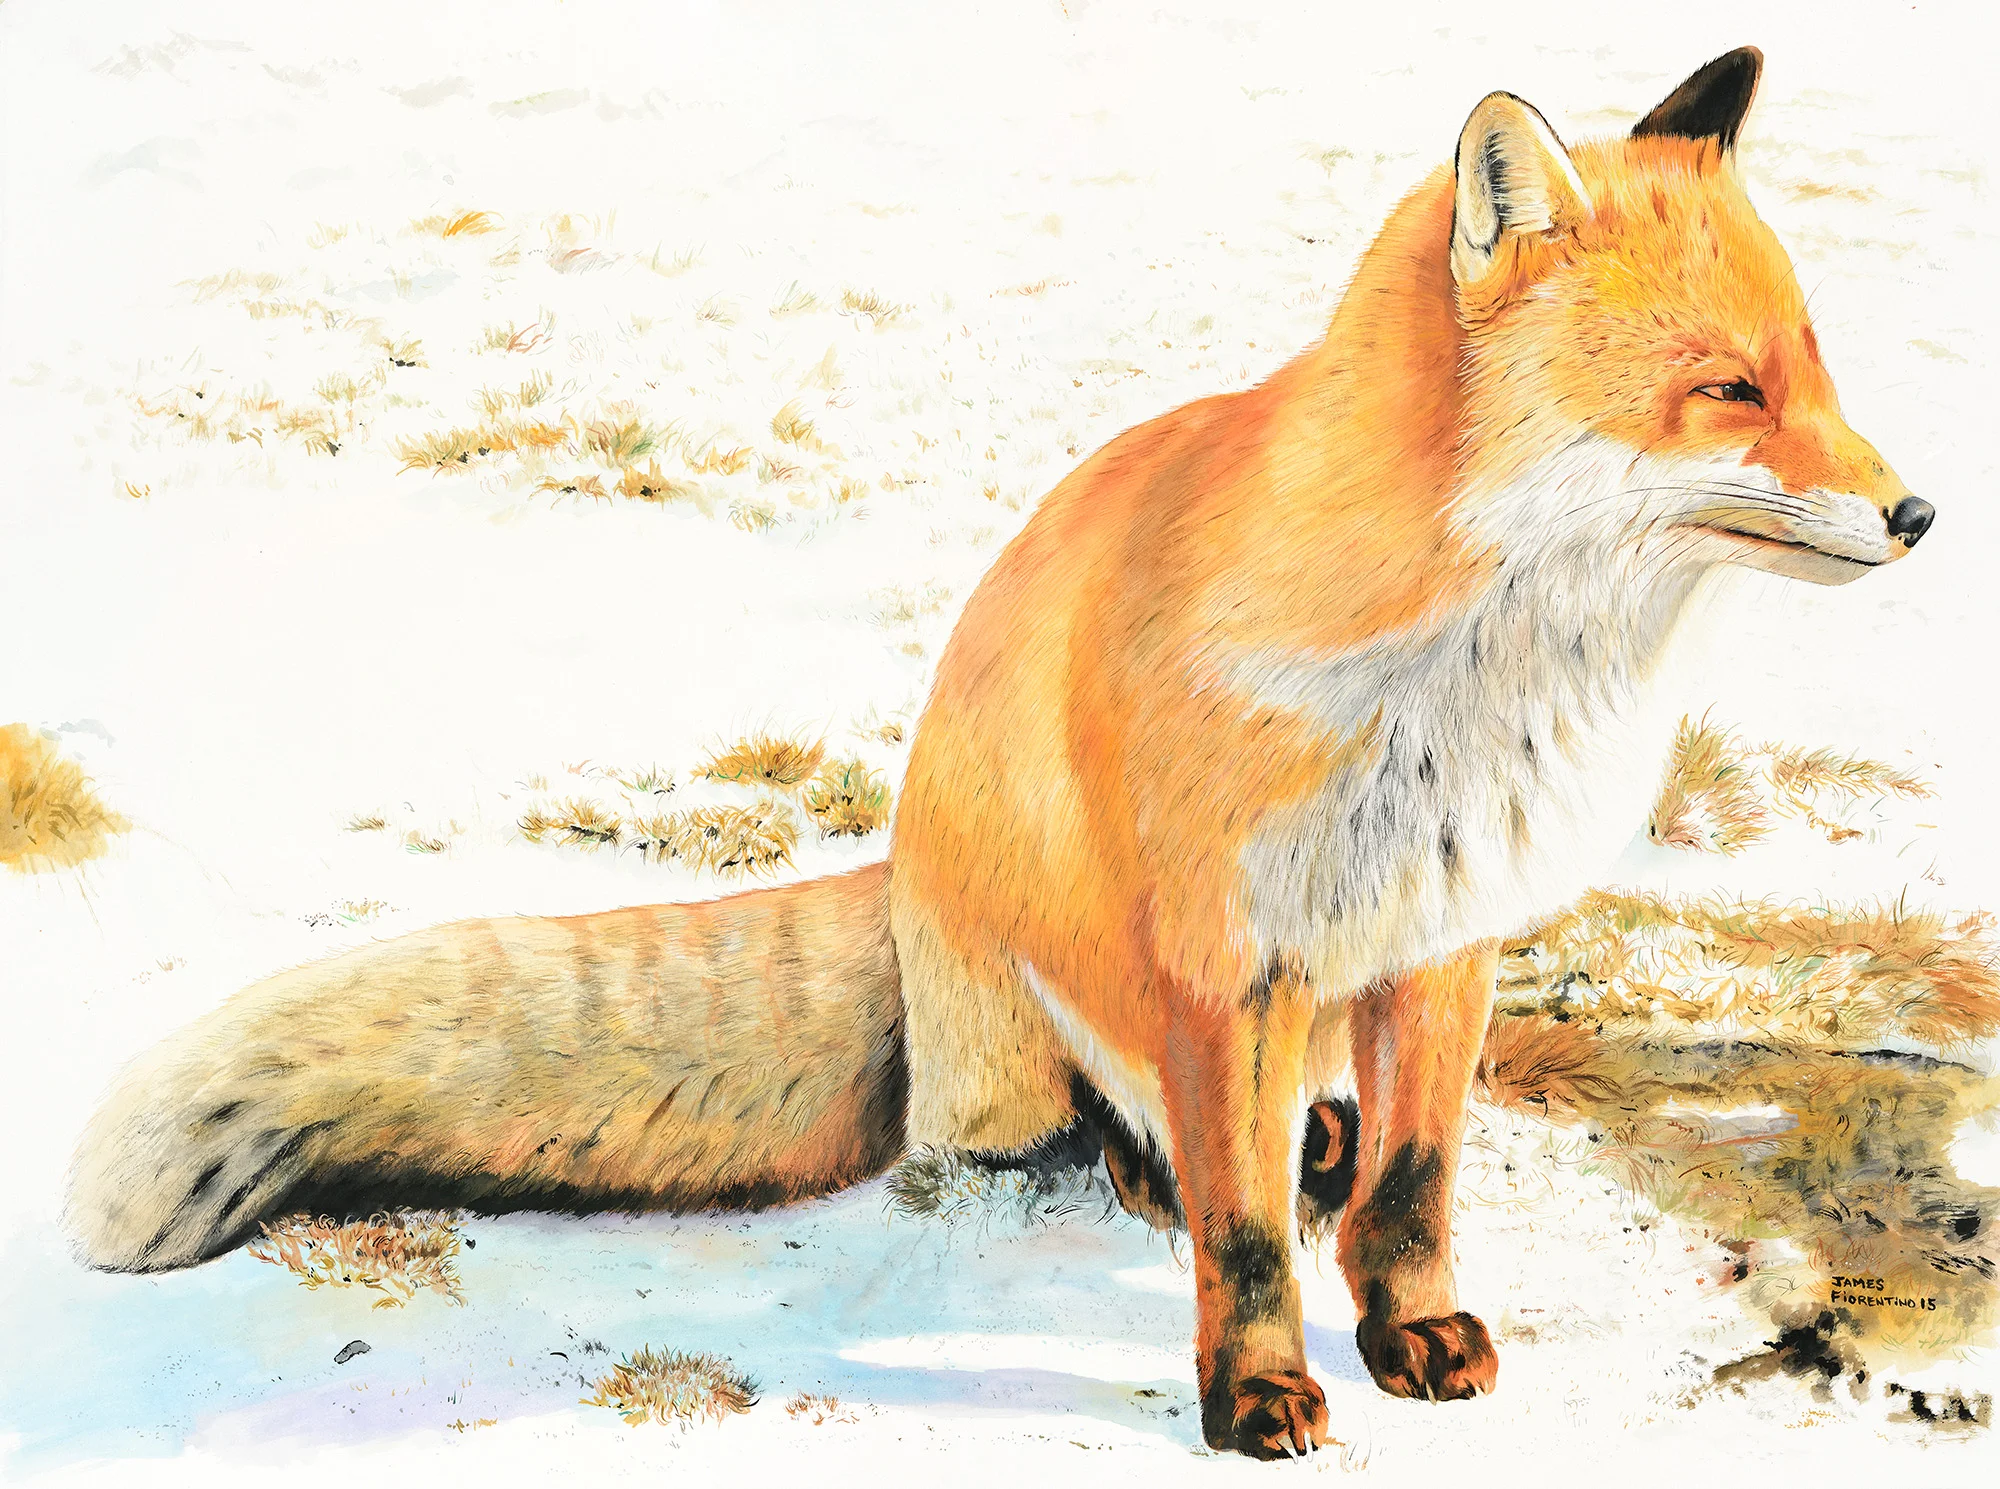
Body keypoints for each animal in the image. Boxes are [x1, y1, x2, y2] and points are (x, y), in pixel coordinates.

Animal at [65, 48, 1933, 1459]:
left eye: (1817, 370)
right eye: (1732, 392)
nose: (1920, 514)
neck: (1465, 680)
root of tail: (899, 882)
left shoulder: (1444, 929)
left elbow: (1413, 1185)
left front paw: (1413, 1328)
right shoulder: (1222, 958)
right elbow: (1245, 1232)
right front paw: (1257, 1393)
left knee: (1323, 1136)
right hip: (1036, 1038)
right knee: (1064, 1136)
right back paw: (1151, 1160)